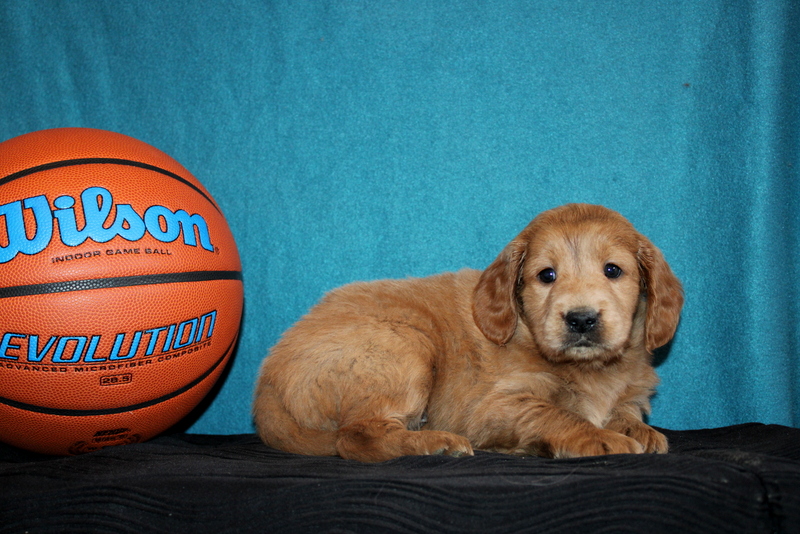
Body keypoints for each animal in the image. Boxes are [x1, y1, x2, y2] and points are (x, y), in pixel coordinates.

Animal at [255, 203, 680, 462]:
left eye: (613, 270)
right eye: (547, 275)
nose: (581, 319)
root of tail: (267, 382)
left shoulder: (629, 393)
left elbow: (624, 412)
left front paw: (639, 430)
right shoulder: (491, 407)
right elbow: (554, 412)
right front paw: (597, 437)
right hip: (405, 346)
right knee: (355, 437)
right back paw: (433, 443)